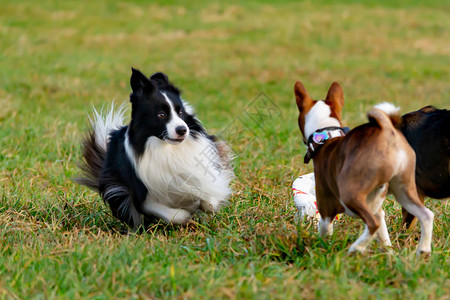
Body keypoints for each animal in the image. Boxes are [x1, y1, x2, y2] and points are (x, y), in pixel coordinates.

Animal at [294, 81, 434, 254]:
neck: (326, 137)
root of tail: (387, 132)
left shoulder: (326, 209)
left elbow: (324, 231)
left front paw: (320, 249)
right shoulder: (378, 210)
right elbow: (384, 236)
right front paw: (389, 253)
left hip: (350, 195)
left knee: (373, 224)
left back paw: (356, 248)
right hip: (404, 190)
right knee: (426, 215)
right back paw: (423, 250)